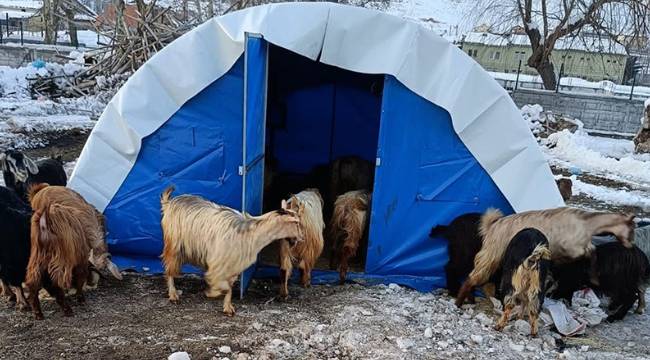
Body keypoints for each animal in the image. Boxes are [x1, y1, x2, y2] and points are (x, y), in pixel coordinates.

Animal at [162, 187, 304, 316]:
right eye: (296, 223)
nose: (302, 238)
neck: (253, 234)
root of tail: (169, 202)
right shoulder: (219, 262)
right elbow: (222, 284)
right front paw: (211, 292)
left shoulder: (233, 265)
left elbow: (229, 287)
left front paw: (227, 307)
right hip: (174, 245)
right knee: (169, 269)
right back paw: (173, 294)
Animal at [456, 208, 632, 306]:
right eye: (632, 229)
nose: (630, 245)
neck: (586, 223)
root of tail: (493, 225)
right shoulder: (571, 247)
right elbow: (590, 252)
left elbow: (591, 251)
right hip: (492, 254)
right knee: (474, 276)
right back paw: (459, 302)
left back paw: (469, 299)